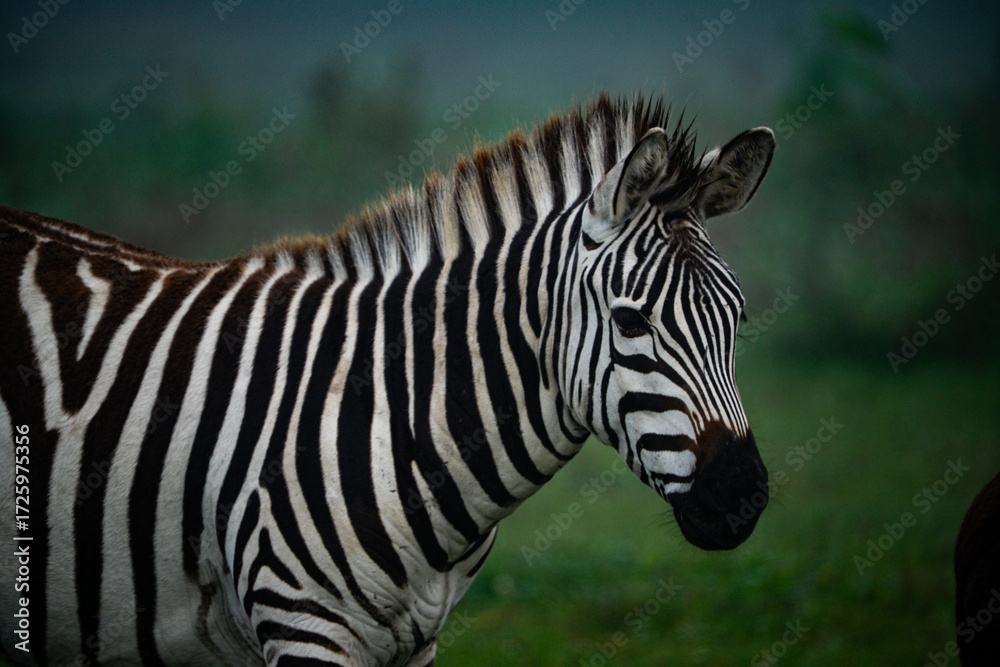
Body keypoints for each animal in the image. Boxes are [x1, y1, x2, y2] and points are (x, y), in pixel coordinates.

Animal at [0, 94, 773, 666]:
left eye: (736, 318)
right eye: (631, 320)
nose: (744, 497)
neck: (395, 417)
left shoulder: (415, 646)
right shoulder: (304, 627)